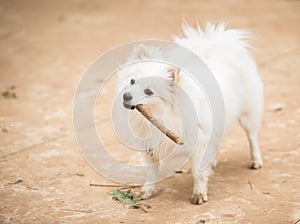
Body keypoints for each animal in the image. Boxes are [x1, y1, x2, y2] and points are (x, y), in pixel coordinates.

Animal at [117, 23, 262, 205]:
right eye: (132, 81)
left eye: (148, 91)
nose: (126, 96)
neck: (160, 115)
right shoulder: (148, 147)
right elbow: (151, 173)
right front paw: (146, 191)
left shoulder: (198, 142)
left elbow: (198, 173)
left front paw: (199, 194)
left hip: (248, 114)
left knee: (252, 137)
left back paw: (255, 160)